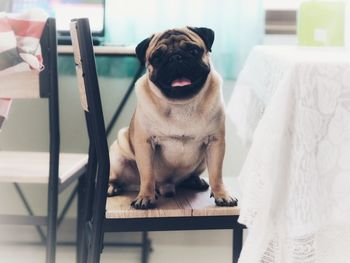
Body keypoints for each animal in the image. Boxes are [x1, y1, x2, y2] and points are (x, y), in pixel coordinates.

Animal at [108, 26, 238, 210]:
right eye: (157, 57)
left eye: (193, 50)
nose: (176, 57)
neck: (181, 104)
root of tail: (167, 186)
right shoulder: (145, 144)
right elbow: (147, 175)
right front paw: (145, 197)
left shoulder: (215, 142)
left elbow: (216, 174)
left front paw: (222, 195)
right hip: (118, 159)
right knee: (117, 177)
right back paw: (113, 187)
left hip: (202, 161)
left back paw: (195, 181)